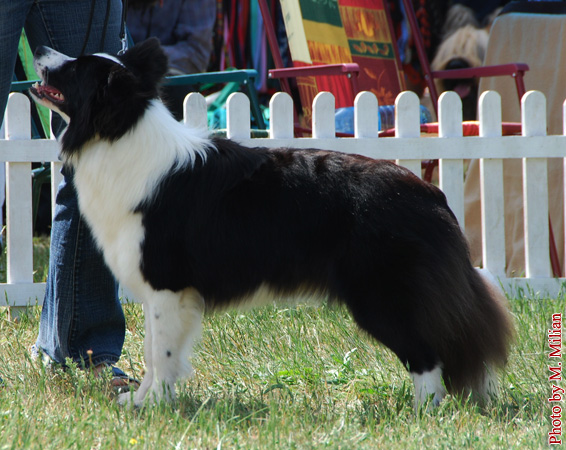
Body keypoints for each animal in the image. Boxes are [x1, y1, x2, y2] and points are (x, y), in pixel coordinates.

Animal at [30, 38, 513, 409]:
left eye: (75, 69)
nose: (40, 50)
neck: (117, 133)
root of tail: (429, 193)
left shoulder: (166, 283)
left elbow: (161, 353)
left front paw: (156, 406)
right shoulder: (162, 293)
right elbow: (152, 350)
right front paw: (143, 400)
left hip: (381, 296)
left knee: (426, 353)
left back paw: (423, 411)